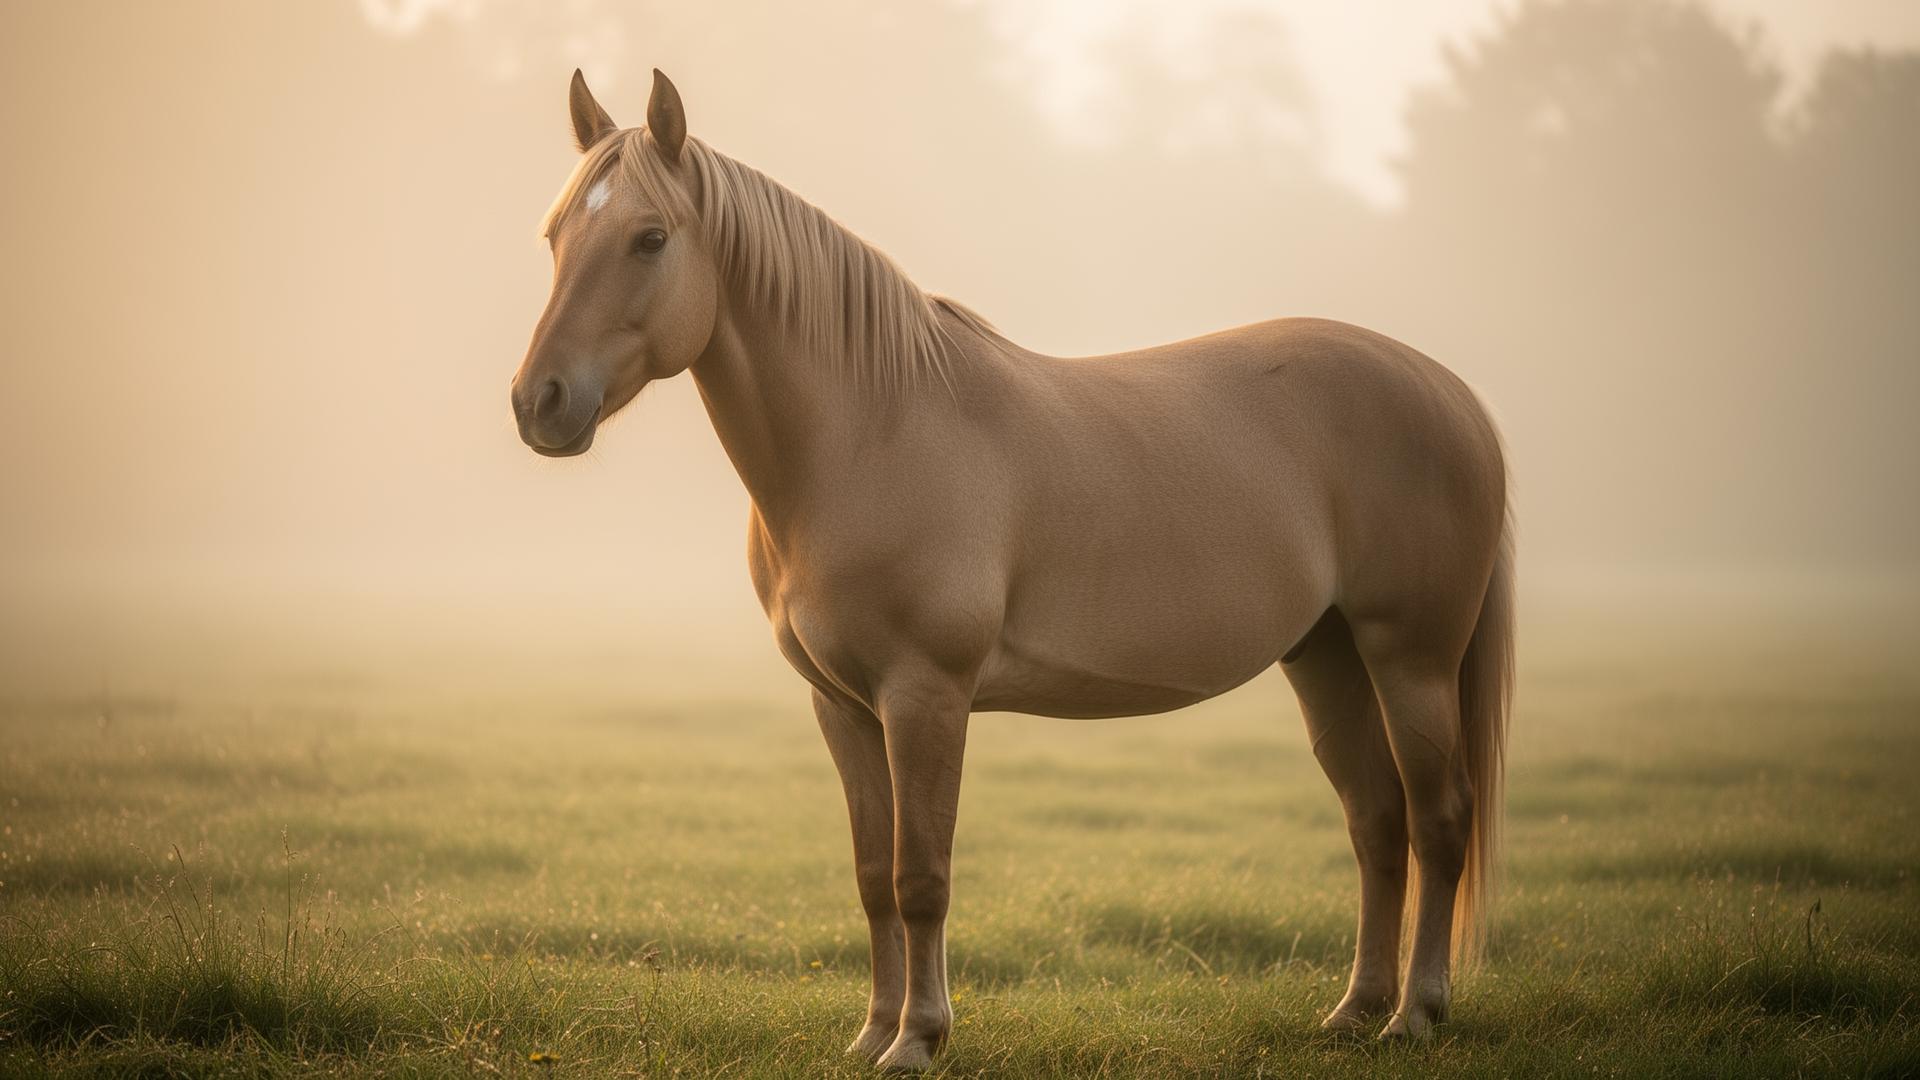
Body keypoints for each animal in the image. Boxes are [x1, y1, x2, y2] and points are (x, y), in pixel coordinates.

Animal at [510, 69, 1514, 1071]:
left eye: (649, 237)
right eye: (556, 234)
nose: (538, 403)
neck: (870, 431)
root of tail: (1453, 394)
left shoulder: (926, 696)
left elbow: (921, 874)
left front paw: (918, 1037)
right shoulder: (842, 706)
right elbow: (872, 874)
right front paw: (871, 1032)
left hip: (1410, 660)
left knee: (1439, 820)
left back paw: (1416, 1011)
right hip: (1327, 656)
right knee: (1377, 822)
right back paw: (1355, 1010)